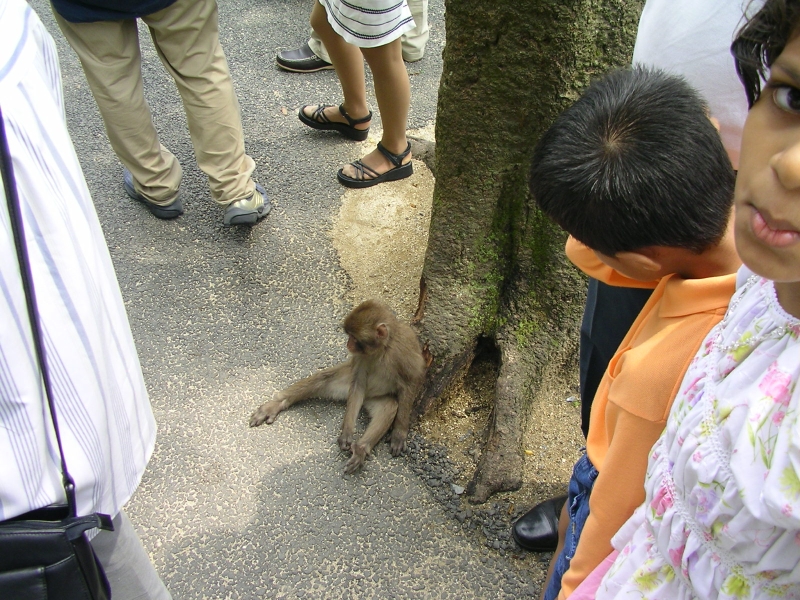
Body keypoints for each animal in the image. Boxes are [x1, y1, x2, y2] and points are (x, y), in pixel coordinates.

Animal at [249, 300, 426, 474]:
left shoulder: (404, 351)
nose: (348, 344)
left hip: (374, 398)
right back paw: (276, 404)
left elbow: (412, 381)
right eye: (350, 336)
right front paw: (347, 431)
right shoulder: (360, 358)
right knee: (324, 379)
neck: (383, 349)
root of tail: (368, 398)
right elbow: (358, 384)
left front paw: (399, 433)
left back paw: (361, 449)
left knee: (389, 407)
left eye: (354, 338)